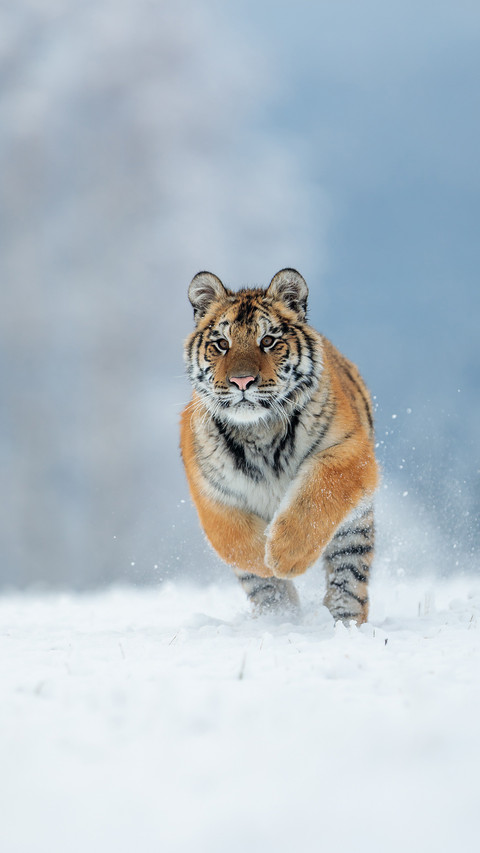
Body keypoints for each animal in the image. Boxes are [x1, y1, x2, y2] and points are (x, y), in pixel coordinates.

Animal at [180, 268, 379, 624]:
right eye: (222, 344)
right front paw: (263, 560)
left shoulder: (348, 451)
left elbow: (316, 497)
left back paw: (344, 622)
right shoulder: (208, 488)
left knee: (348, 576)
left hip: (354, 529)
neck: (258, 430)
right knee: (266, 592)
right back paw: (279, 619)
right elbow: (233, 539)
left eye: (268, 341)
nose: (242, 381)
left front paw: (284, 556)